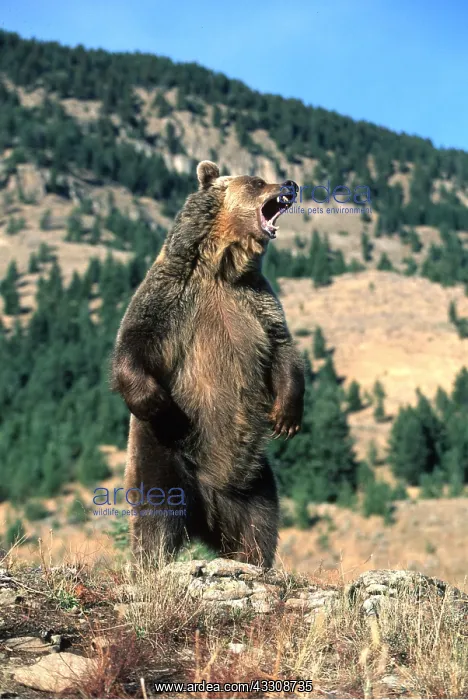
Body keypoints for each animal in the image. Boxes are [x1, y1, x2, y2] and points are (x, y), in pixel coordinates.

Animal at [111, 161, 305, 568]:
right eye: (257, 181)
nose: (291, 184)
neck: (221, 265)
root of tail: (207, 511)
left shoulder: (257, 301)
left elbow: (283, 351)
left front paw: (286, 417)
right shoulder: (171, 294)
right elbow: (135, 340)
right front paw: (154, 399)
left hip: (254, 480)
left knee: (259, 524)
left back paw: (252, 560)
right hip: (164, 454)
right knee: (157, 515)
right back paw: (150, 561)